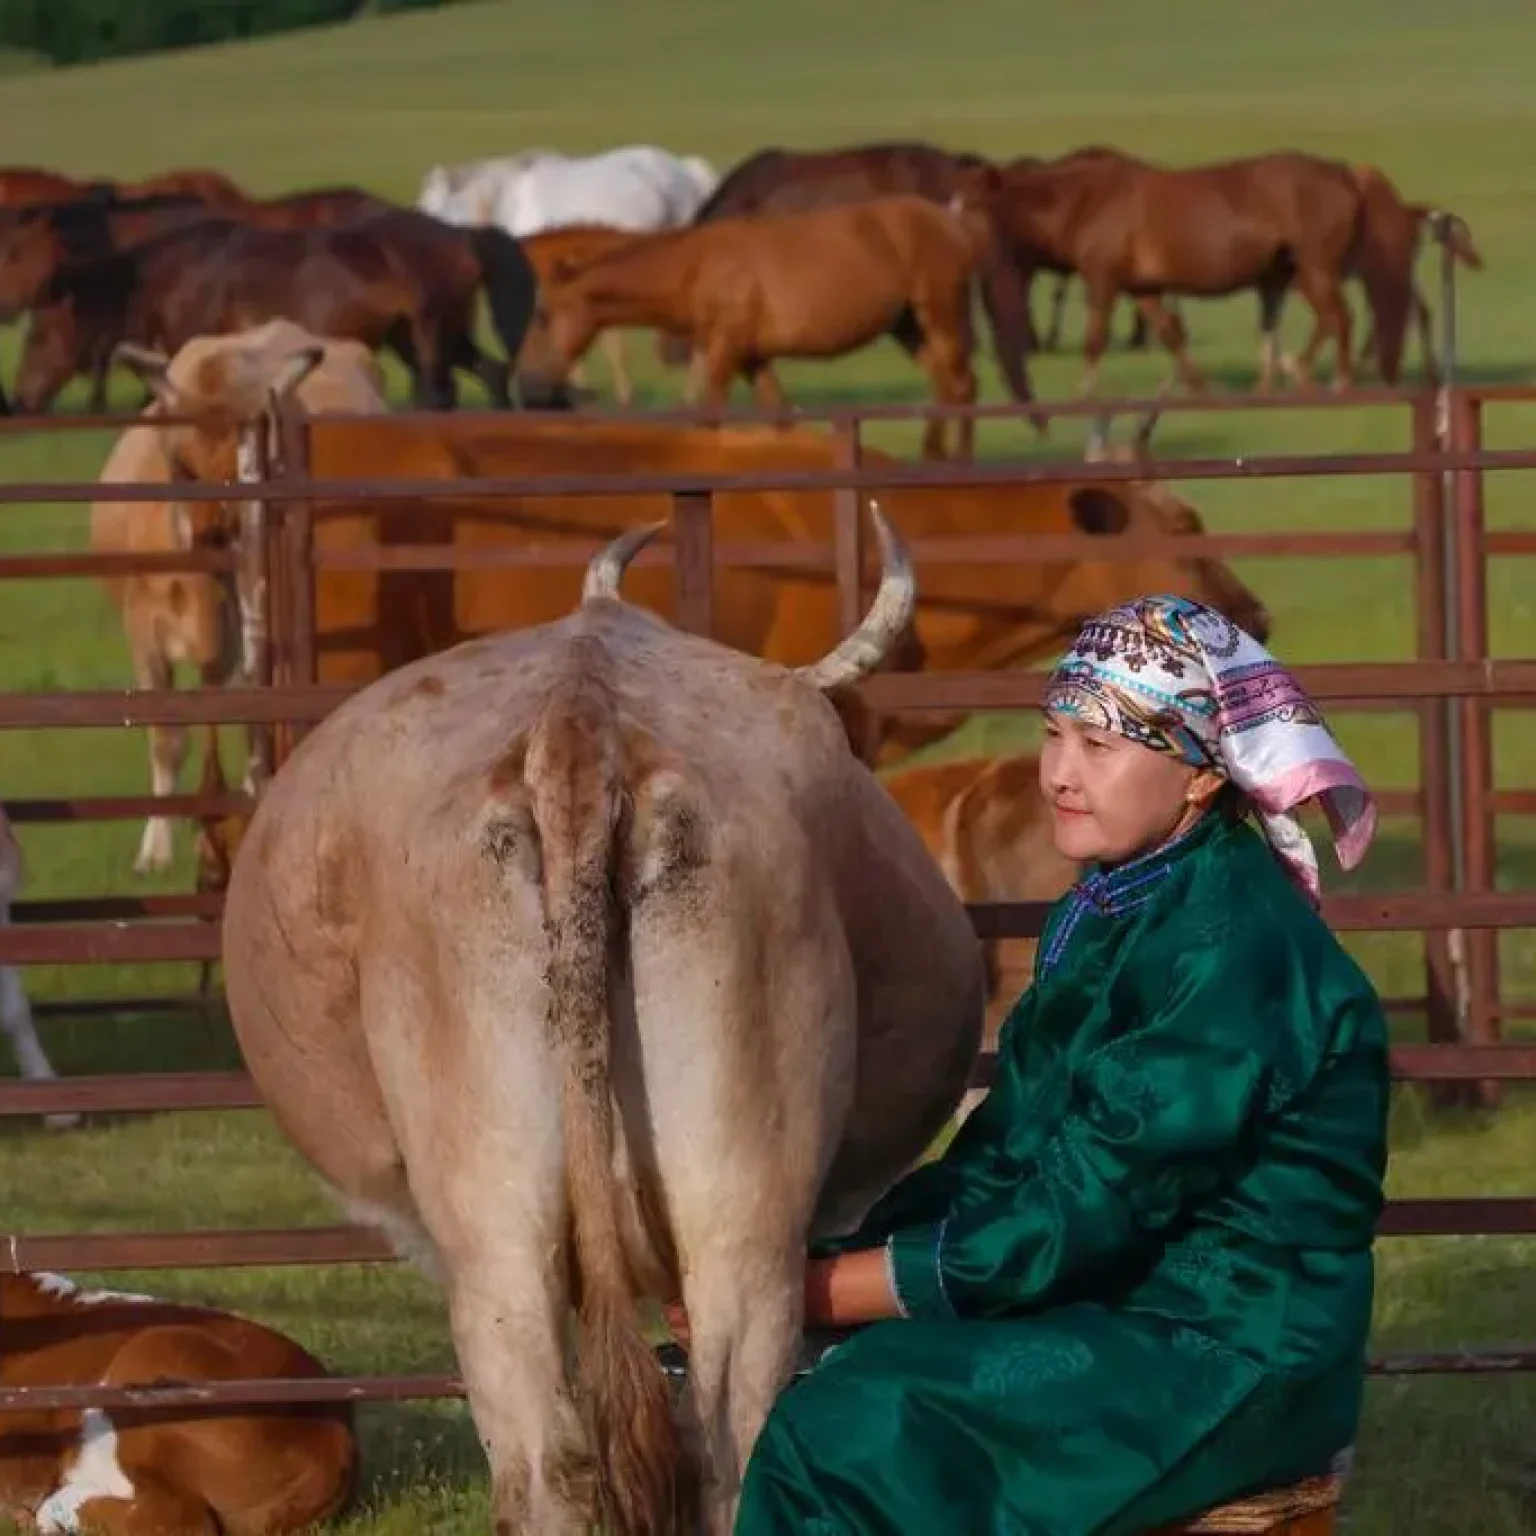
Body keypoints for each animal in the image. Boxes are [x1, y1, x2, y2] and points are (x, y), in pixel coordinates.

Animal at [94, 320, 389, 874]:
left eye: (242, 463)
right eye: (180, 462)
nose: (209, 535)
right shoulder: (142, 625)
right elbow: (167, 736)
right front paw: (156, 850)